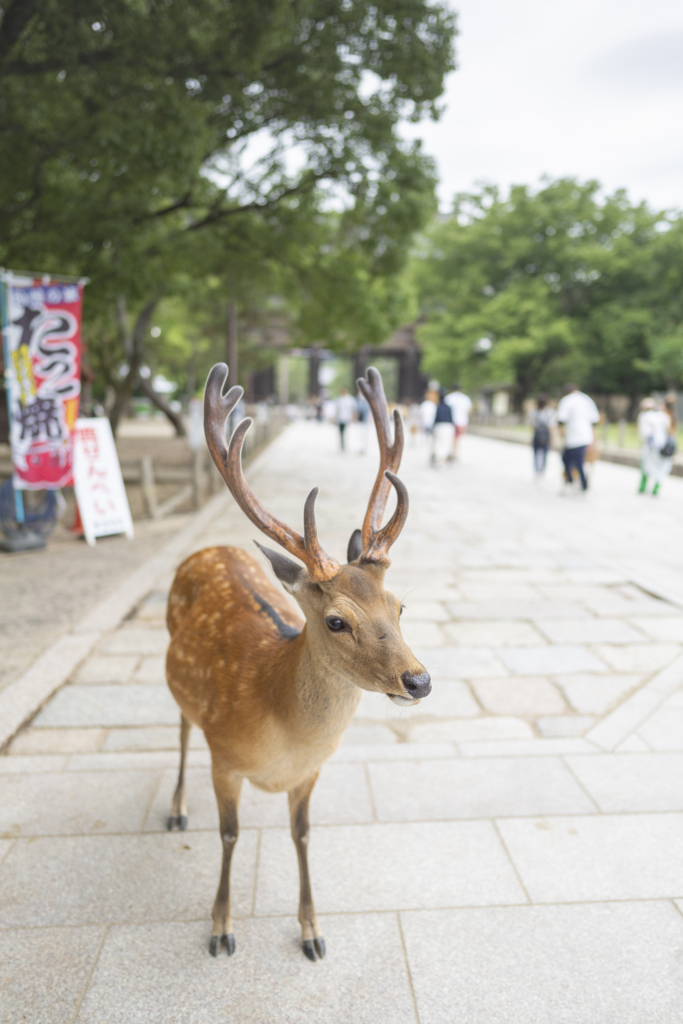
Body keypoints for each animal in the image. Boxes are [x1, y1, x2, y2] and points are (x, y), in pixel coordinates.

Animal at [165, 364, 430, 962]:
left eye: (400, 605)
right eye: (335, 621)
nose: (419, 679)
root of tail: (210, 548)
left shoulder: (311, 771)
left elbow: (303, 833)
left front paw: (312, 932)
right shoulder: (224, 758)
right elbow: (229, 834)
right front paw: (221, 929)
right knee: (183, 729)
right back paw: (176, 809)